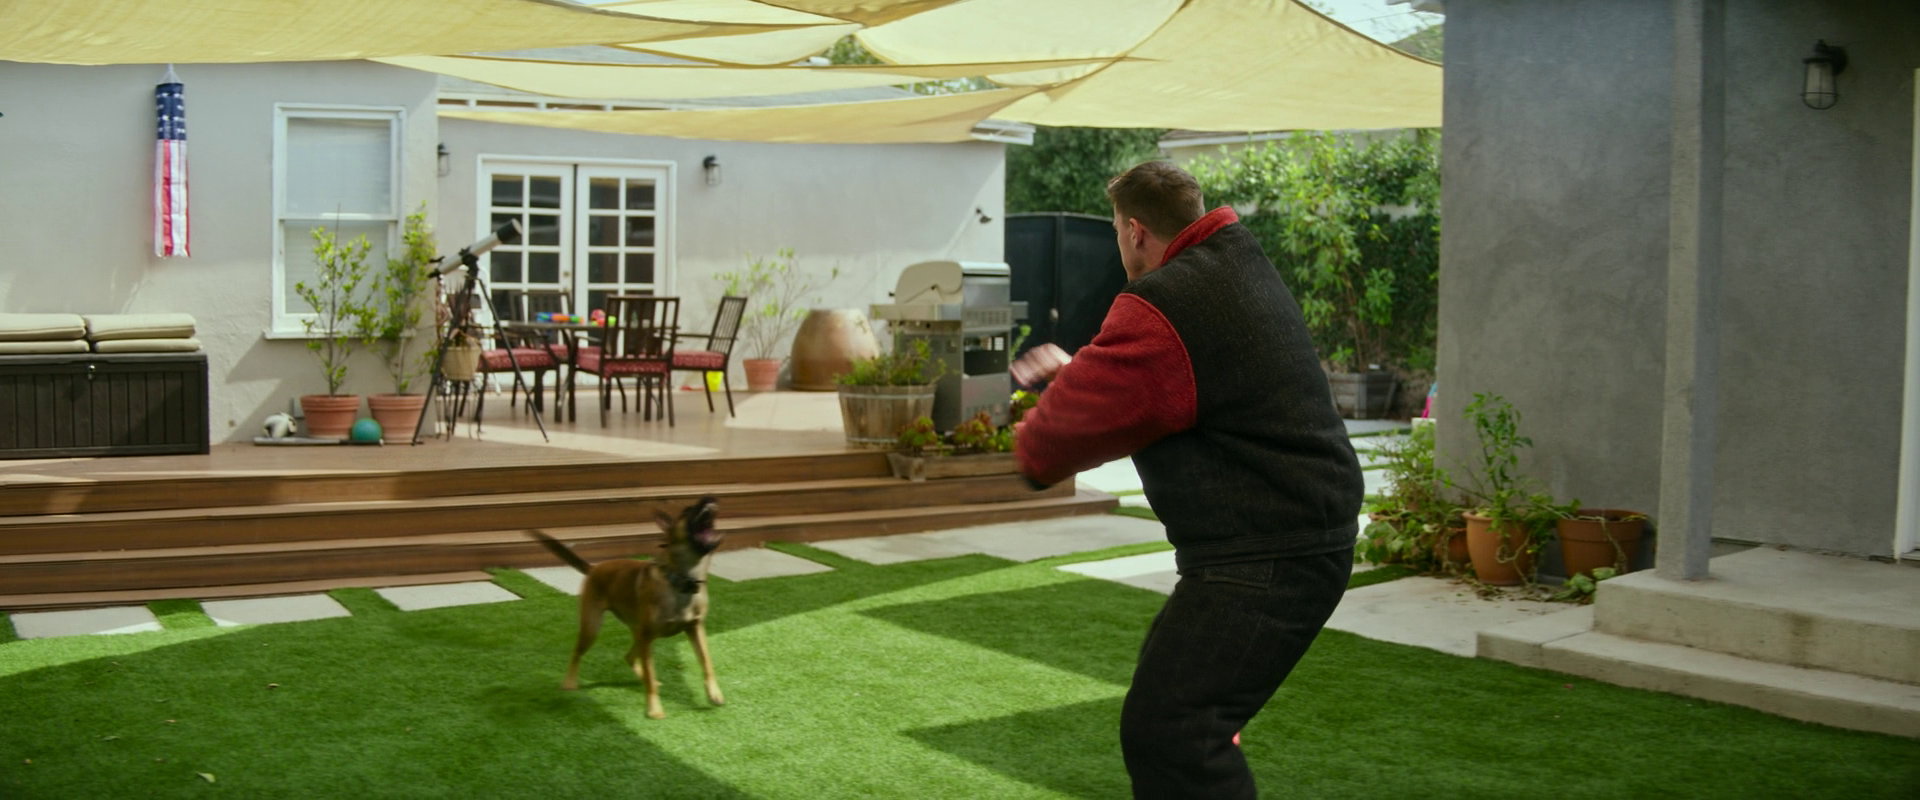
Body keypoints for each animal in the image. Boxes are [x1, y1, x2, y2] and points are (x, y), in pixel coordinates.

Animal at [528, 496, 725, 719]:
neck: (681, 581)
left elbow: (707, 662)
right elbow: (651, 674)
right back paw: (569, 682)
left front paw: (714, 693)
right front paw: (654, 709)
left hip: (639, 634)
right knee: (577, 652)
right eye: (687, 509)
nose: (710, 497)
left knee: (629, 657)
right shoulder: (647, 636)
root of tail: (593, 568)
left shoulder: (695, 628)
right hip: (594, 629)